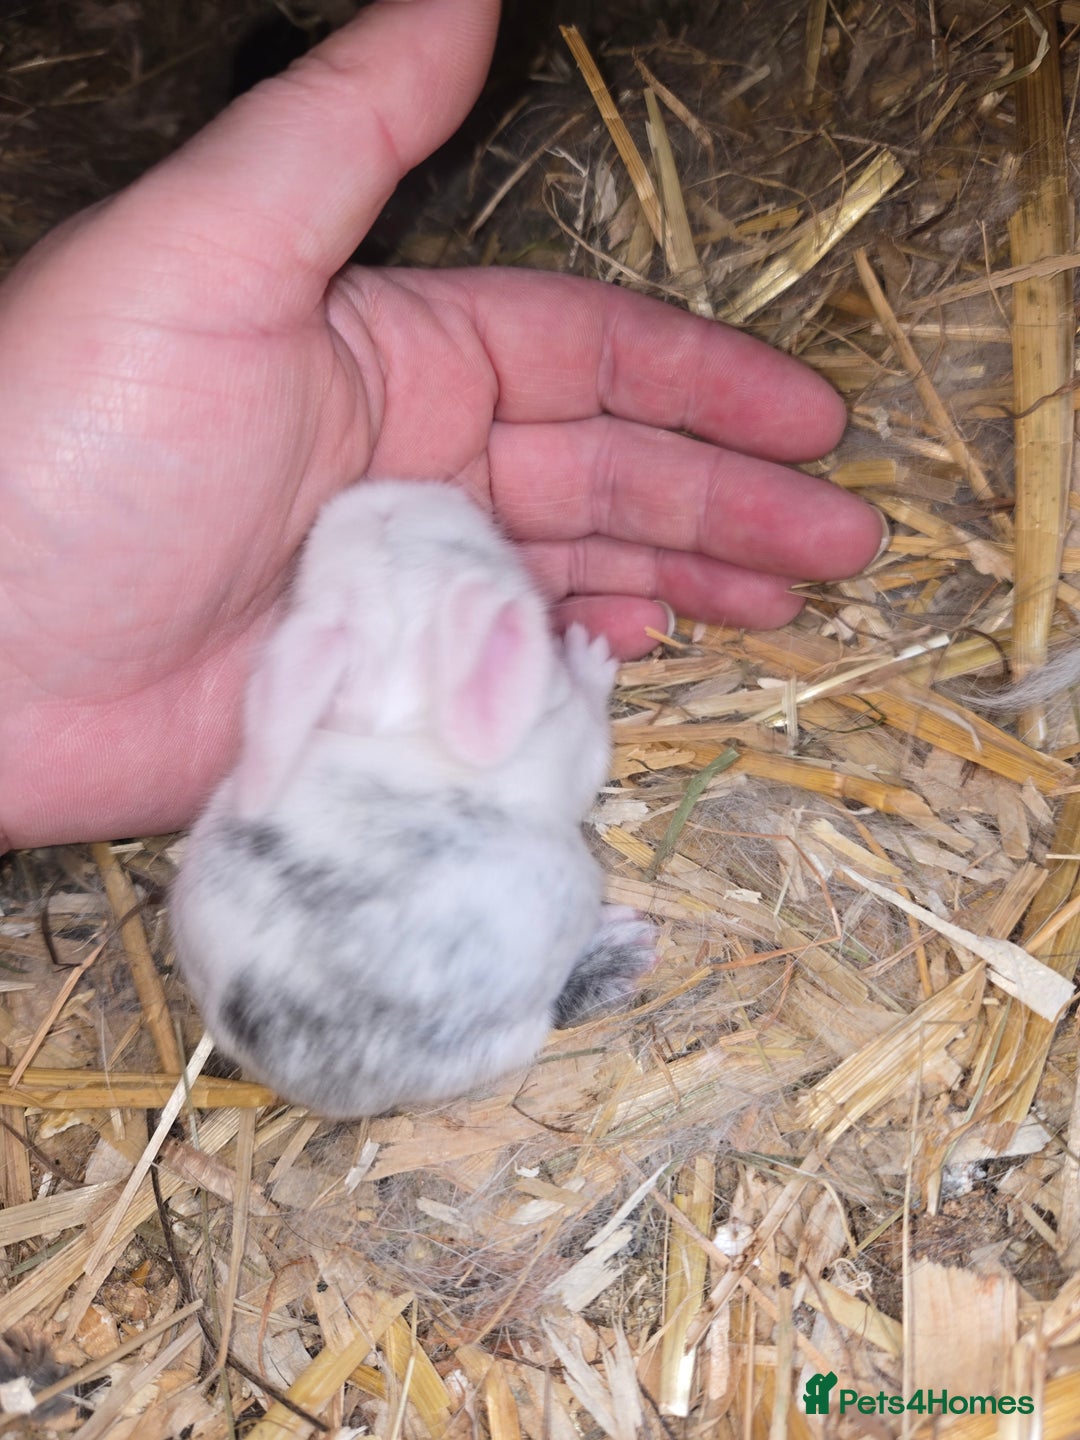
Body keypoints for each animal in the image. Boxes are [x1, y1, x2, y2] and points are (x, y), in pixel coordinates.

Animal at [170, 479, 655, 1118]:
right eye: (463, 546)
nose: (380, 491)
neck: (405, 709)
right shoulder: (575, 740)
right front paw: (589, 655)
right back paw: (627, 944)